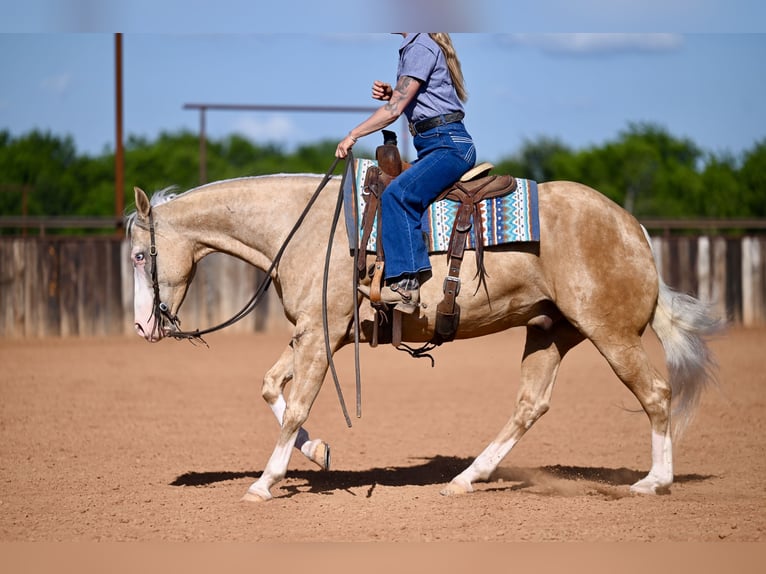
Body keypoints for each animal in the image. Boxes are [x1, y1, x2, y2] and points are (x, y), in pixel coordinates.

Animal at [126, 169, 722, 502]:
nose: (142, 325)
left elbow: (293, 406)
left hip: (611, 333)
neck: (306, 227)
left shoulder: (319, 336)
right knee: (530, 405)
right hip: (550, 331)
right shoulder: (314, 335)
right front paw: (317, 453)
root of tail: (632, 226)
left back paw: (654, 483)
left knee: (656, 394)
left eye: (137, 256)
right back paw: (466, 478)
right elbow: (272, 387)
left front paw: (263, 483)